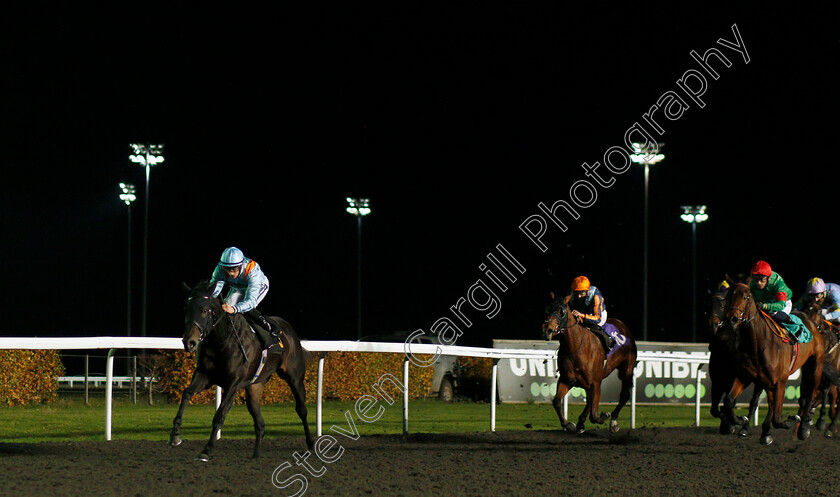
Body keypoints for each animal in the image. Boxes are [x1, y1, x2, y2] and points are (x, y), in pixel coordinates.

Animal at [167, 280, 316, 460]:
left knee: (301, 409)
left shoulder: (234, 383)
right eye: (186, 309)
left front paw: (206, 450)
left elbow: (220, 414)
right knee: (260, 422)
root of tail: (289, 331)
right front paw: (175, 435)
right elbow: (187, 393)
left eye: (204, 310)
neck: (221, 341)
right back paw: (256, 455)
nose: (189, 342)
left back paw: (311, 444)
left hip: (294, 378)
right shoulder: (204, 375)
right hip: (254, 386)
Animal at [540, 296, 640, 432]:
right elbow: (556, 401)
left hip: (627, 368)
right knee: (589, 401)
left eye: (561, 311)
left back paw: (613, 421)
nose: (547, 330)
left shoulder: (595, 382)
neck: (575, 348)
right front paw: (569, 424)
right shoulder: (566, 380)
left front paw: (604, 416)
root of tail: (622, 325)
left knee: (624, 395)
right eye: (547, 309)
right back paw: (581, 423)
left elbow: (594, 414)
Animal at [720, 282, 824, 446]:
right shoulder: (746, 377)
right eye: (729, 295)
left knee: (810, 396)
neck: (758, 343)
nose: (732, 319)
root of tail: (812, 324)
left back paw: (803, 429)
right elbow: (729, 400)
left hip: (815, 367)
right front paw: (739, 420)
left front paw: (790, 420)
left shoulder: (780, 381)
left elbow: (777, 417)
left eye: (745, 296)